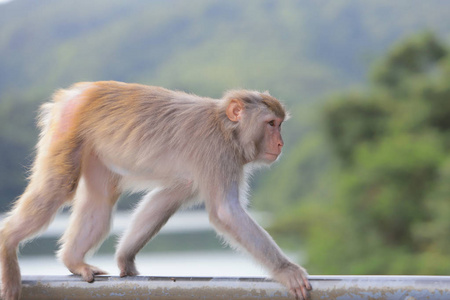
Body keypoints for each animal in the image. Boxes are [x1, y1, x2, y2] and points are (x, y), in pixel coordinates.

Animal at [0, 81, 312, 298]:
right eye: (271, 124)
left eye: (279, 124)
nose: (281, 143)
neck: (226, 129)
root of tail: (73, 93)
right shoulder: (218, 155)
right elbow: (226, 212)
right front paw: (287, 271)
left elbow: (169, 196)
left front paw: (125, 258)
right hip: (69, 127)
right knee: (58, 186)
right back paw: (7, 242)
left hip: (93, 149)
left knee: (100, 201)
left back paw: (74, 261)